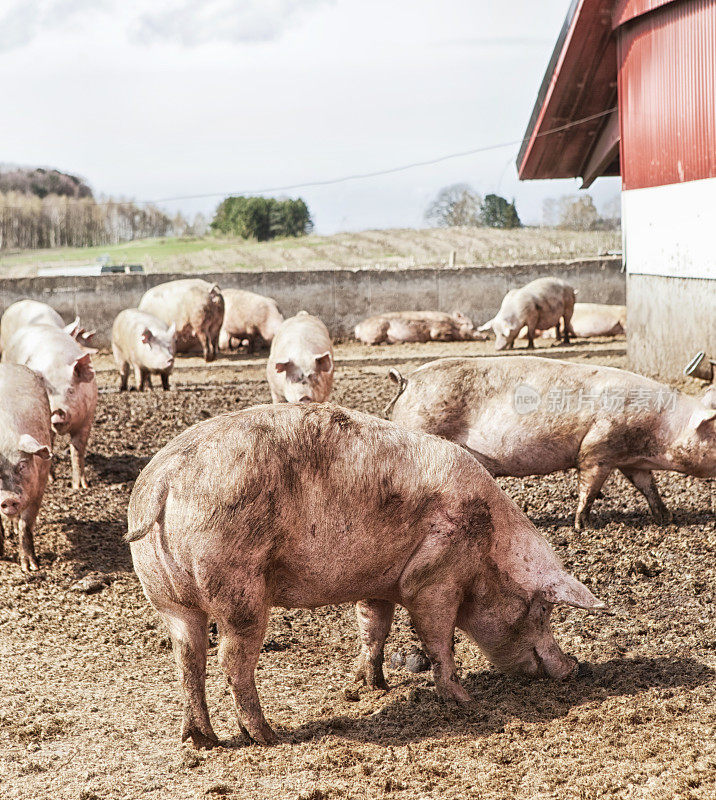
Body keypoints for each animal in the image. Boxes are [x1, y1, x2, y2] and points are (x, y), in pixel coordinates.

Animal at [1, 324, 98, 488]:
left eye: (71, 390)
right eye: (48, 392)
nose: (57, 412)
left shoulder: (88, 418)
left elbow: (78, 450)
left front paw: (80, 486)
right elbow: (49, 447)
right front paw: (52, 480)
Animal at [127, 406, 604, 752]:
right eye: (541, 610)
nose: (573, 668)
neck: (489, 549)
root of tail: (163, 482)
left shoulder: (378, 584)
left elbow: (374, 628)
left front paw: (371, 684)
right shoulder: (434, 580)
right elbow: (439, 638)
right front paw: (466, 700)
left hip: (168, 597)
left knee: (188, 657)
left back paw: (200, 741)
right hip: (238, 585)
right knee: (231, 659)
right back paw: (266, 735)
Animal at [388, 358, 716, 532]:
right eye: (713, 432)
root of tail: (407, 379)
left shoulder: (629, 460)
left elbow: (648, 486)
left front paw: (665, 518)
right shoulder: (598, 446)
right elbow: (590, 486)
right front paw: (582, 526)